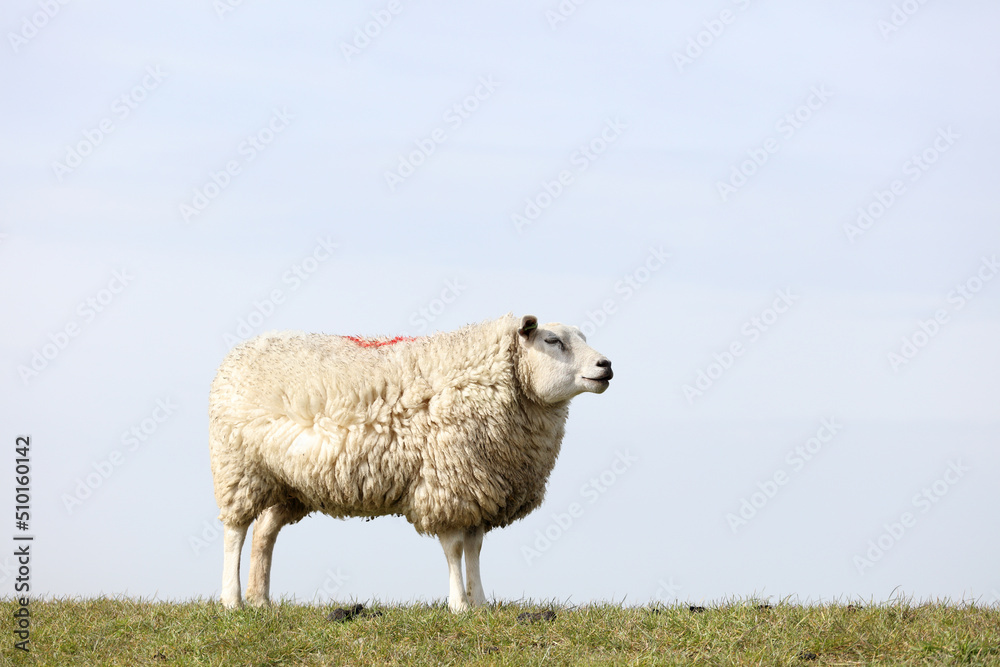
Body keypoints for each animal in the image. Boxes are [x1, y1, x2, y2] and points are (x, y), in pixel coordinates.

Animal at [209, 314, 613, 612]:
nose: (606, 364)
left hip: (289, 483)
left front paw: (480, 603)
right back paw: (232, 601)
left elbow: (475, 548)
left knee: (264, 533)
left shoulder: (478, 487)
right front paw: (458, 605)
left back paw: (260, 600)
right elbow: (454, 548)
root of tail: (244, 348)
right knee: (236, 531)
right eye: (553, 341)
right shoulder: (447, 483)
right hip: (238, 467)